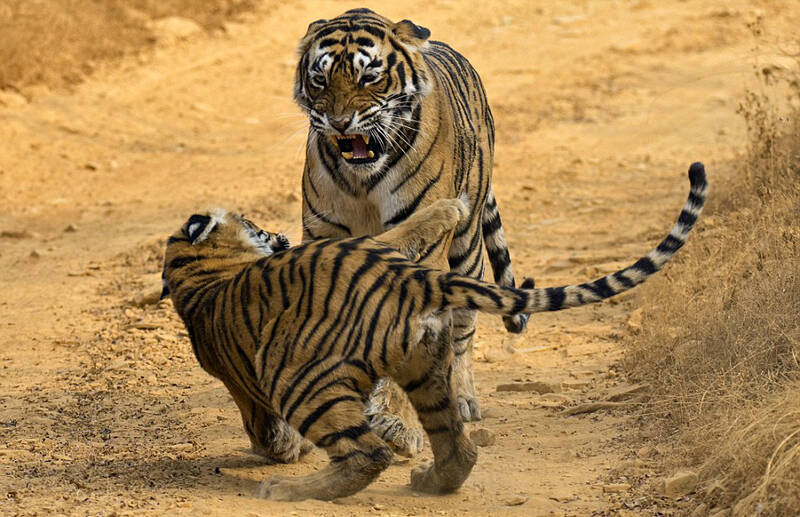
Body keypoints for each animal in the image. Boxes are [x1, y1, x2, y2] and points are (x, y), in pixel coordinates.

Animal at [161, 162, 708, 500]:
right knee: (416, 450)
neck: (196, 274)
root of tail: (413, 280)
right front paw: (453, 207)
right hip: (388, 368)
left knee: (398, 450)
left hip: (337, 370)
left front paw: (451, 206)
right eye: (253, 221)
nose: (278, 235)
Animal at [294, 8, 524, 456]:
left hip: (467, 248)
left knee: (462, 332)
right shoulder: (322, 238)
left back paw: (463, 399)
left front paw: (396, 423)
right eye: (320, 80)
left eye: (369, 77)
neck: (361, 180)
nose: (339, 122)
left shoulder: (424, 247)